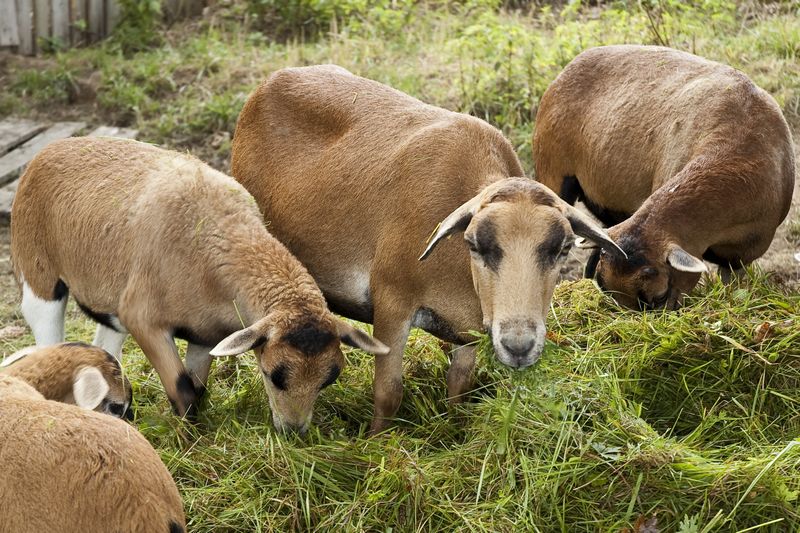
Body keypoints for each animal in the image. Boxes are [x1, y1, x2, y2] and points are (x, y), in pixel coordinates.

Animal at [230, 64, 623, 433]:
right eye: (475, 244)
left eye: (563, 248)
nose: (518, 346)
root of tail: (268, 85)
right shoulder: (392, 303)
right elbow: (388, 393)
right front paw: (375, 441)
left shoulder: (466, 334)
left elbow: (459, 389)